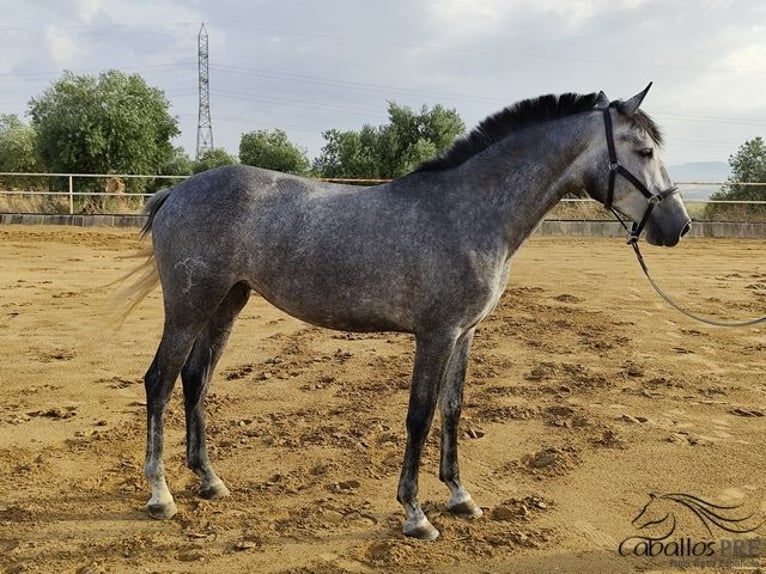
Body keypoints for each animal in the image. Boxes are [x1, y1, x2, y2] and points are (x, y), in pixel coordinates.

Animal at [123, 84, 692, 540]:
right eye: (644, 150)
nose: (678, 225)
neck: (468, 212)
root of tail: (178, 190)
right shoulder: (435, 334)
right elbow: (418, 415)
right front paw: (416, 515)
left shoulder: (465, 334)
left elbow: (452, 409)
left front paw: (461, 496)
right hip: (189, 307)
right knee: (160, 381)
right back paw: (161, 495)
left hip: (226, 304)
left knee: (195, 381)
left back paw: (209, 480)